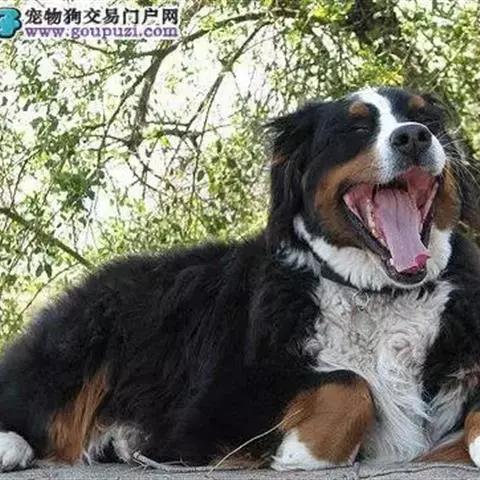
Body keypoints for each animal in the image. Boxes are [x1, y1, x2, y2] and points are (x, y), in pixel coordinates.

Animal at [1, 87, 480, 472]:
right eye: (357, 127)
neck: (378, 293)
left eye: (426, 119)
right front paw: (300, 452)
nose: (414, 136)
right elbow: (350, 383)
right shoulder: (211, 405)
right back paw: (12, 446)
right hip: (80, 343)